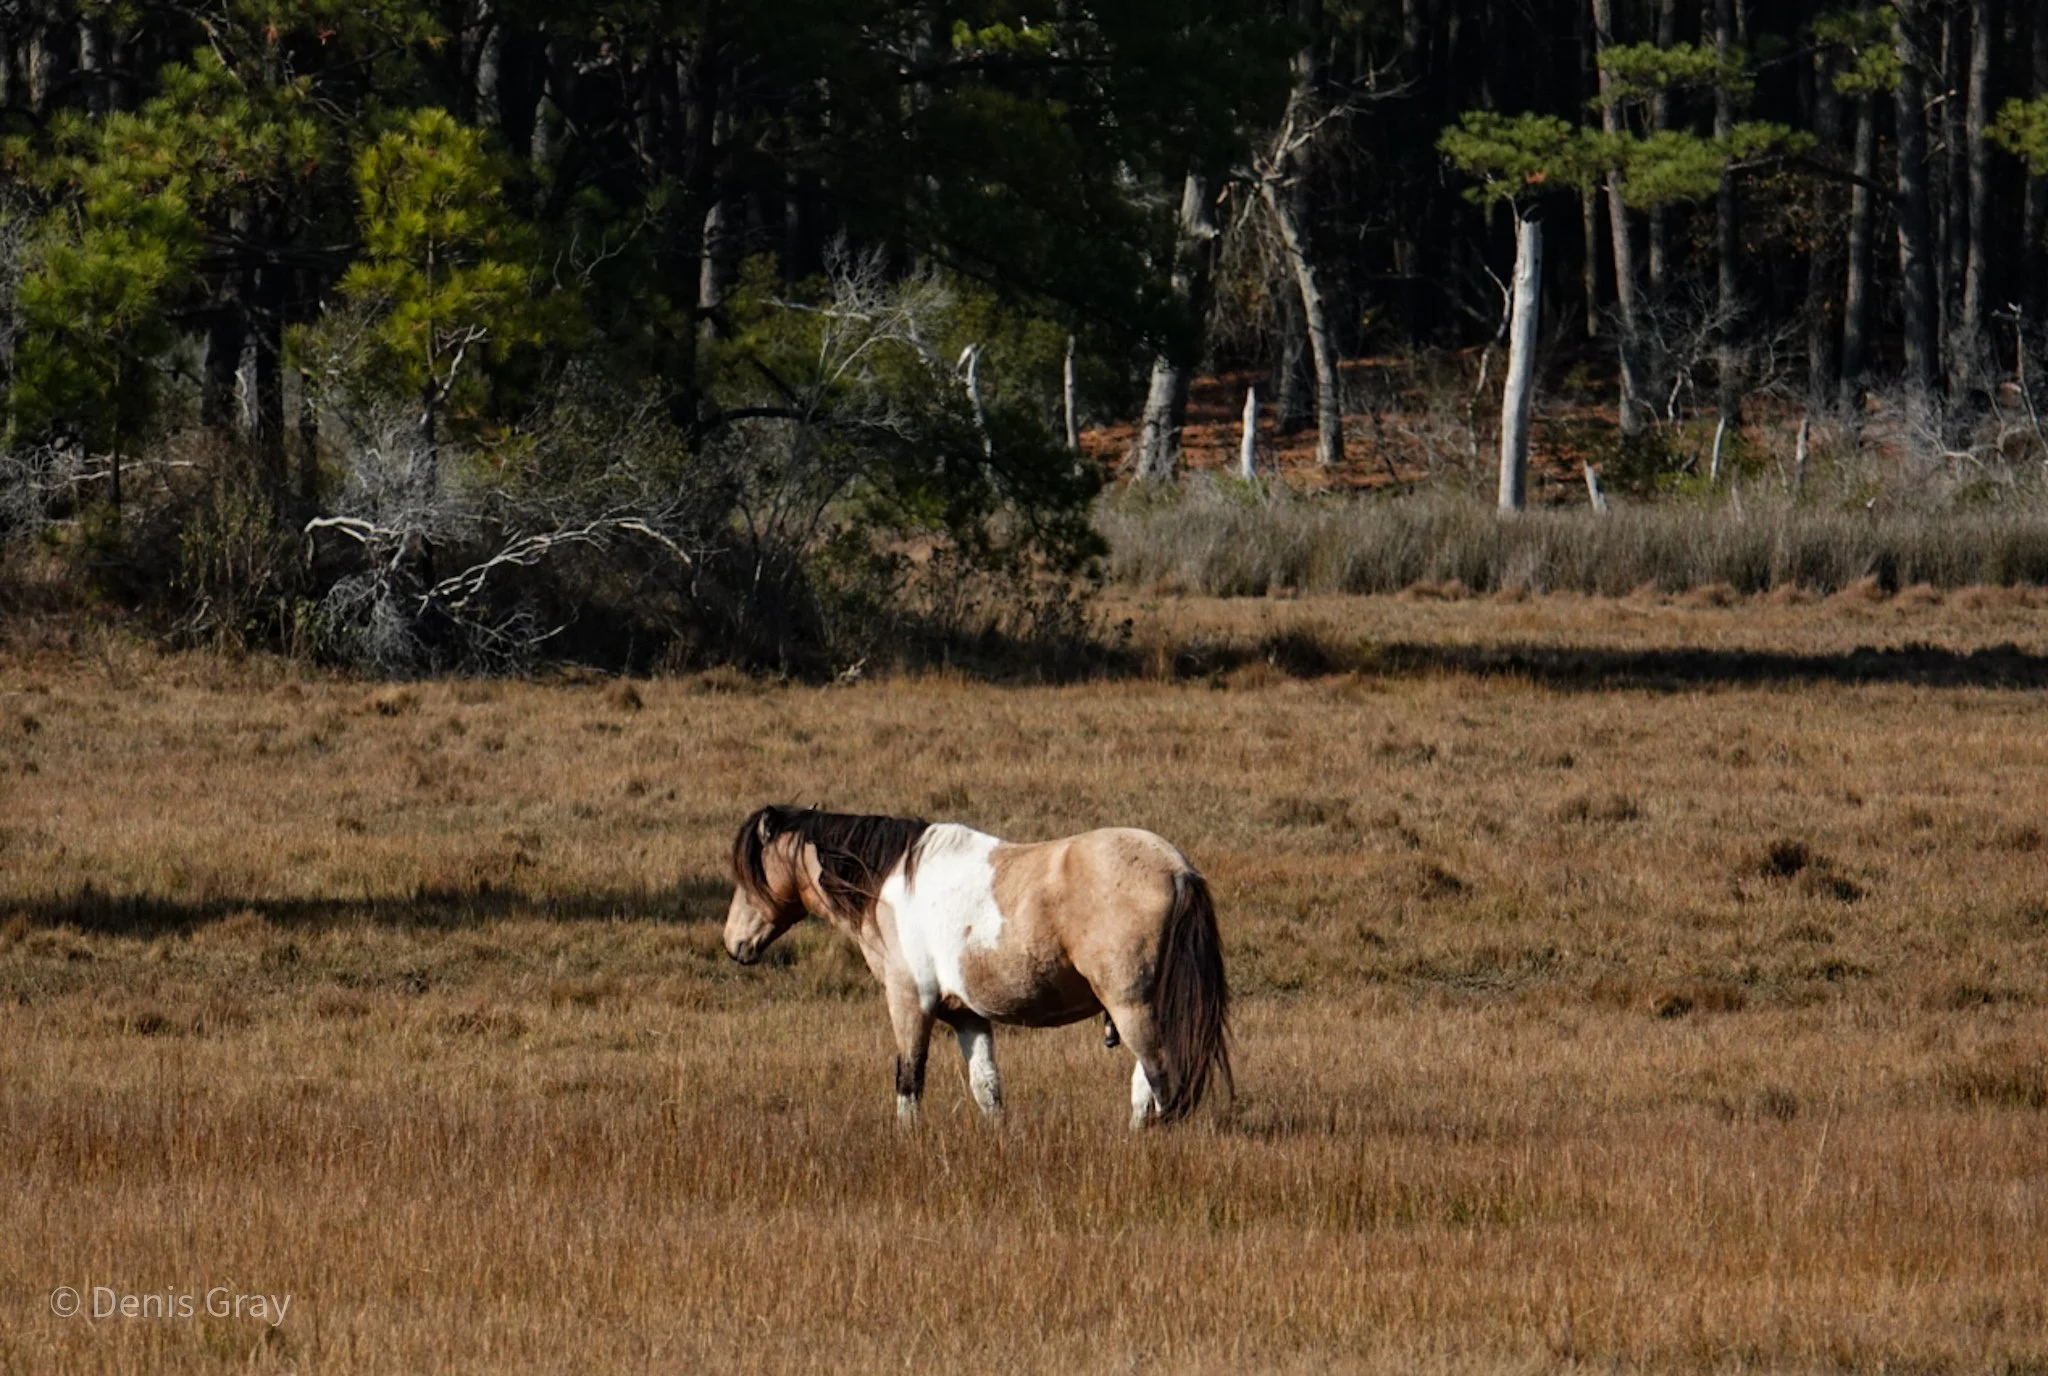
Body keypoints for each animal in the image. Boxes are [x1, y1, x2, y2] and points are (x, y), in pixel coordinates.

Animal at [723, 805, 1231, 1128]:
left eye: (750, 874)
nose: (733, 944)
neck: (891, 883)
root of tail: (1177, 869)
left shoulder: (909, 1002)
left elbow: (909, 1079)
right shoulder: (968, 1017)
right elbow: (987, 1090)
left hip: (1132, 1009)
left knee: (1162, 1084)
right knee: (1147, 1089)